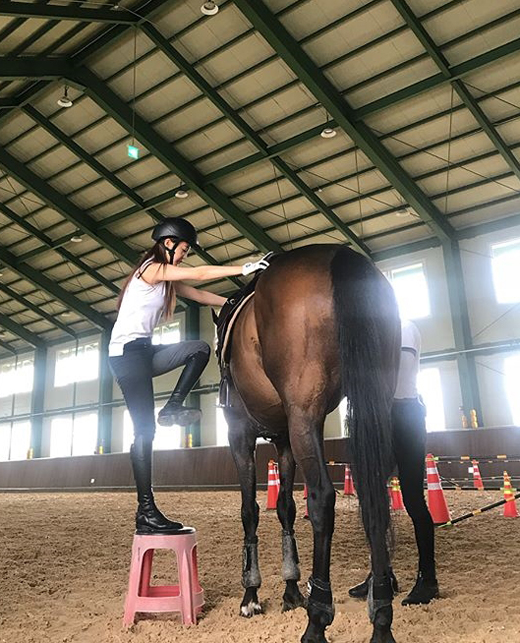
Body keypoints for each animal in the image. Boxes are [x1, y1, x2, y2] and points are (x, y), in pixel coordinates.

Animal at [219, 245, 402, 643]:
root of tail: (340, 256)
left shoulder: (240, 435)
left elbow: (249, 511)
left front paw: (251, 595)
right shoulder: (285, 441)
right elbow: (285, 508)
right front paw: (290, 589)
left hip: (305, 414)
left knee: (322, 499)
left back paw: (317, 619)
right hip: (370, 402)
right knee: (373, 497)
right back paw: (381, 618)